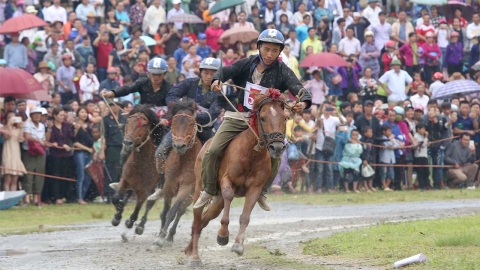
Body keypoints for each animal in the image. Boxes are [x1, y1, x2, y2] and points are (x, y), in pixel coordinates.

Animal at [111, 104, 167, 235]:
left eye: (143, 124)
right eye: (128, 121)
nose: (127, 142)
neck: (142, 163)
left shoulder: (145, 190)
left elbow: (138, 209)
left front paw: (131, 222)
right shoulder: (125, 180)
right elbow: (116, 198)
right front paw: (117, 215)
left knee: (151, 204)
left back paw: (142, 225)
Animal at [152, 97, 201, 249]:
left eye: (191, 123)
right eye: (174, 122)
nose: (179, 145)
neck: (182, 161)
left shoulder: (186, 188)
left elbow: (173, 211)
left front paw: (162, 237)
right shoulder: (168, 186)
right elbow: (165, 212)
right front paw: (159, 235)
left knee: (180, 211)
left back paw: (170, 236)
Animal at [184, 89, 288, 266]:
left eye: (285, 118)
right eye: (263, 117)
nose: (277, 147)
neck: (251, 153)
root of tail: (204, 146)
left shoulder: (255, 188)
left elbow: (245, 217)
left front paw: (238, 245)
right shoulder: (228, 181)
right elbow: (229, 196)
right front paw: (223, 235)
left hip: (217, 202)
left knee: (204, 220)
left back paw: (189, 249)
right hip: (199, 188)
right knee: (197, 221)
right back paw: (195, 257)